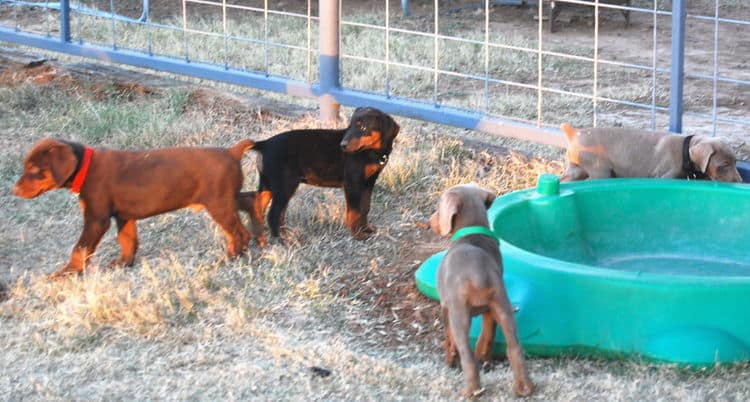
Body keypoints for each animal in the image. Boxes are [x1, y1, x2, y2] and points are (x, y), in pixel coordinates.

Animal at [13, 137, 254, 278]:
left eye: (34, 169)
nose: (14, 190)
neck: (85, 167)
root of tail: (232, 152)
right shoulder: (123, 216)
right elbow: (127, 241)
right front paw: (123, 263)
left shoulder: (96, 219)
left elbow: (80, 248)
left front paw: (68, 272)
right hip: (226, 198)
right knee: (249, 204)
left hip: (218, 203)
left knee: (239, 232)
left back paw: (232, 255)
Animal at [238, 107, 400, 245]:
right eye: (350, 126)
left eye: (363, 128)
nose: (342, 145)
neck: (371, 151)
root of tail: (264, 144)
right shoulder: (352, 183)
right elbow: (354, 211)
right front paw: (357, 235)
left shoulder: (368, 182)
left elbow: (365, 207)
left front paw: (367, 229)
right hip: (284, 185)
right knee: (274, 214)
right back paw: (282, 240)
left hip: (269, 183)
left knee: (261, 207)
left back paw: (266, 236)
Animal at [428, 184, 536, 398]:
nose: (430, 221)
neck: (471, 235)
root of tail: (478, 274)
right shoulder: (489, 311)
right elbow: (488, 335)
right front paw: (485, 357)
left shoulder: (445, 307)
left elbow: (449, 338)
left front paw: (449, 360)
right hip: (503, 307)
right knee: (514, 347)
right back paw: (524, 388)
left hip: (459, 314)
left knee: (466, 353)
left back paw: (471, 391)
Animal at [560, 122, 744, 182]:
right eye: (723, 165)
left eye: (735, 162)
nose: (740, 182)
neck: (685, 150)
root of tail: (574, 133)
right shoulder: (665, 176)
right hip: (600, 170)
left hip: (576, 168)